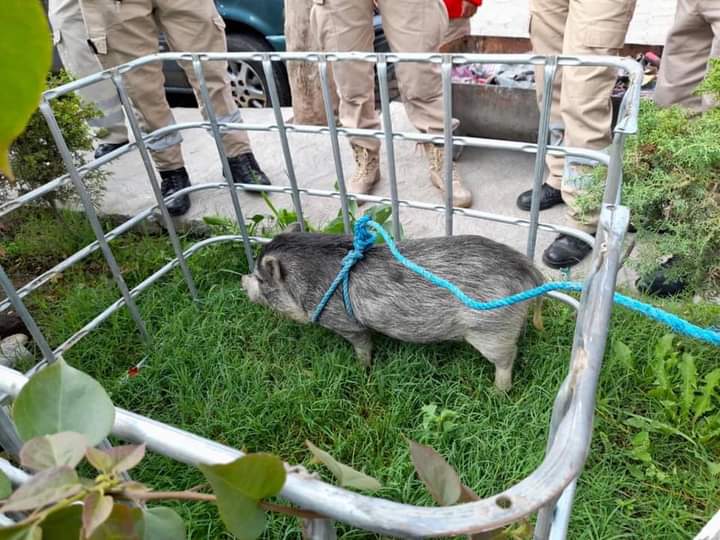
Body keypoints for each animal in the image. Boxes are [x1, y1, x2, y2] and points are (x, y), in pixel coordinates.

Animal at [239, 224, 544, 392]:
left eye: (260, 279)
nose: (242, 280)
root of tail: (527, 269)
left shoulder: (346, 322)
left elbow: (363, 345)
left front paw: (360, 368)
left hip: (490, 329)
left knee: (508, 357)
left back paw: (497, 392)